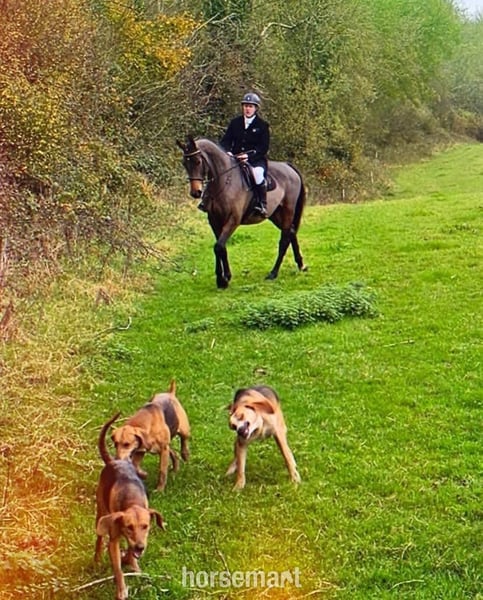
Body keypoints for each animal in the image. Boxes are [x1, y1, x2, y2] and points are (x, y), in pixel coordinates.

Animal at [95, 412, 165, 600]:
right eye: (129, 527)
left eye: (146, 526)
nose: (140, 547)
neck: (132, 500)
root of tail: (113, 461)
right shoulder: (114, 540)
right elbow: (118, 569)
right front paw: (121, 590)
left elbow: (130, 554)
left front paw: (133, 564)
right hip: (100, 512)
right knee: (99, 538)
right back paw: (97, 558)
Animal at [176, 135, 307, 289]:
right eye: (184, 163)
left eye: (197, 161)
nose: (195, 192)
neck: (224, 182)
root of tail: (288, 167)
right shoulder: (214, 220)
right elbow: (220, 247)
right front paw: (223, 278)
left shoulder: (233, 220)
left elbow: (219, 246)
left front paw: (223, 279)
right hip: (275, 214)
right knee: (291, 232)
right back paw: (301, 265)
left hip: (287, 210)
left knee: (284, 239)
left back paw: (273, 273)